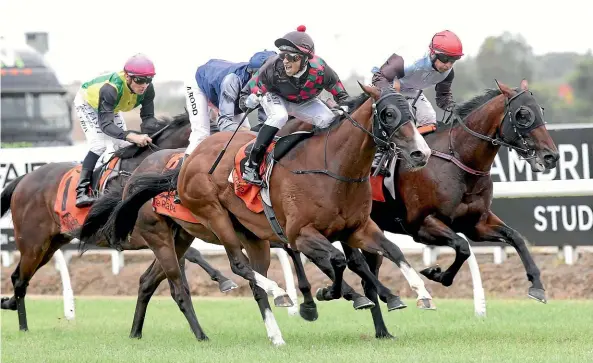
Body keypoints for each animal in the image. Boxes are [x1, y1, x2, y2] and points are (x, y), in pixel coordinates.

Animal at [97, 84, 430, 344]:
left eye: (412, 114)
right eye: (388, 114)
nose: (420, 153)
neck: (332, 168)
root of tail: (183, 165)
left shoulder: (357, 228)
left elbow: (393, 250)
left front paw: (419, 292)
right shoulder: (300, 234)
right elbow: (338, 261)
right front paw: (327, 295)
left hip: (204, 237)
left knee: (156, 280)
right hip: (202, 221)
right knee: (229, 269)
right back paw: (259, 300)